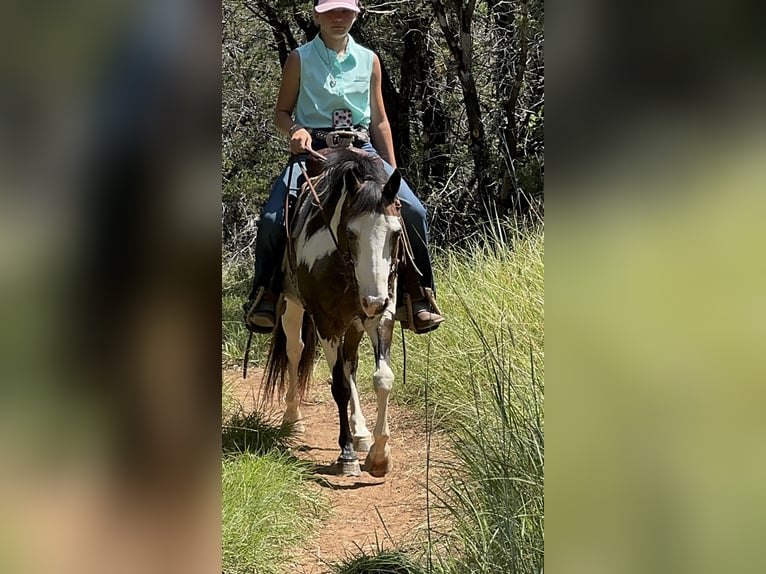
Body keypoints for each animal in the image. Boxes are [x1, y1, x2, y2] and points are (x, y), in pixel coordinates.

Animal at [262, 147, 403, 477]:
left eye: (395, 233)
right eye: (351, 234)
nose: (374, 300)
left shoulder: (379, 318)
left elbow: (382, 378)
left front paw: (379, 454)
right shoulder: (327, 322)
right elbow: (338, 386)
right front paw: (347, 456)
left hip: (353, 323)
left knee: (350, 364)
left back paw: (361, 432)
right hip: (292, 307)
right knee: (296, 350)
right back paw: (293, 419)